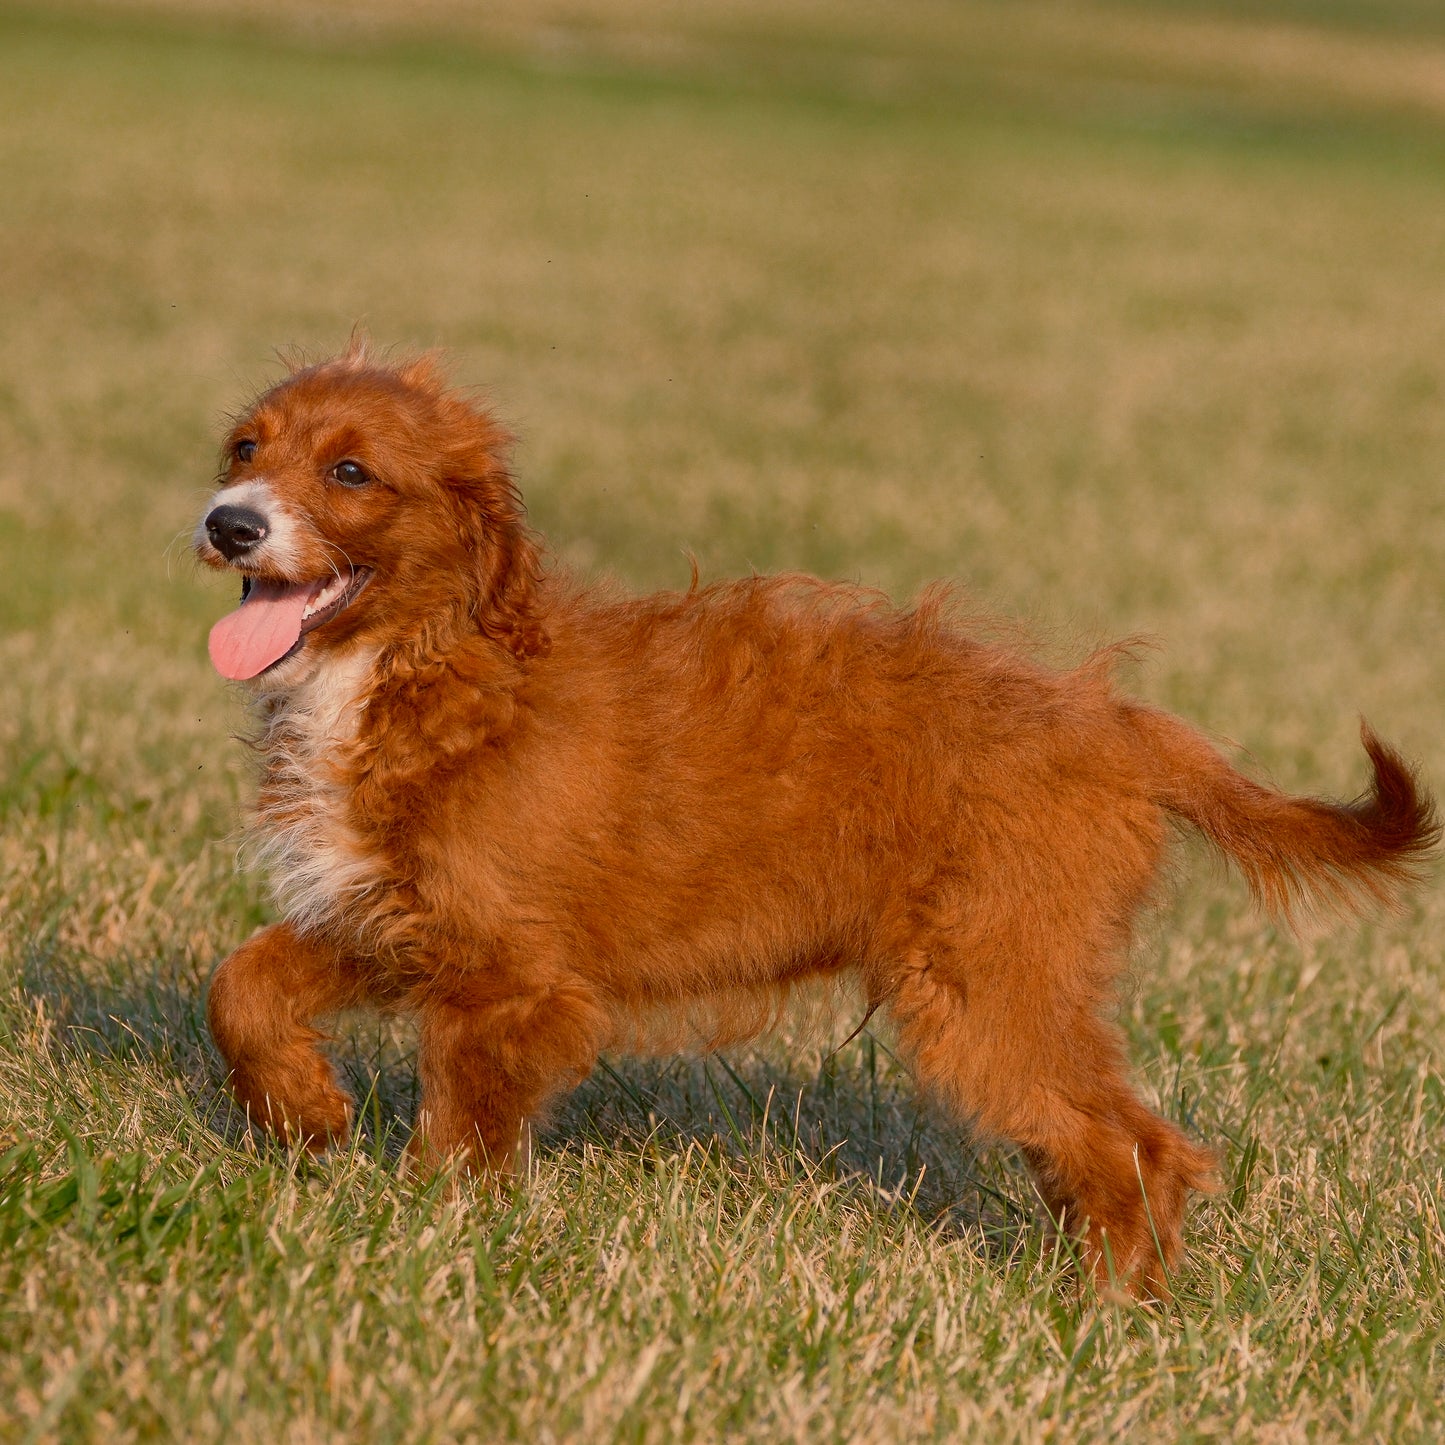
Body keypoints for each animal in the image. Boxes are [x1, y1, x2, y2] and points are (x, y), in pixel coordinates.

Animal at [197, 341, 1439, 1300]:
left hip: (986, 983)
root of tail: (1107, 719)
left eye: (350, 470)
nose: (226, 522)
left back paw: (1105, 1310)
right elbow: (242, 981)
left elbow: (460, 1126)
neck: (430, 667)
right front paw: (304, 1113)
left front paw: (425, 1238)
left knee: (1138, 1144)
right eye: (246, 449)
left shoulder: (514, 975)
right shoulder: (397, 912)